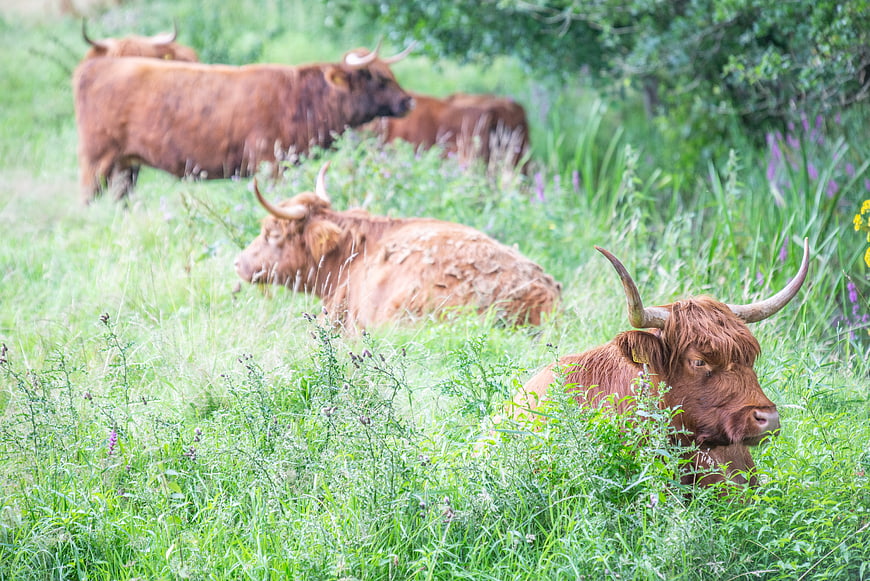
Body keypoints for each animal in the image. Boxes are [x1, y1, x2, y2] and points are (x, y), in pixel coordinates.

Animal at [72, 43, 415, 203]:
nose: (408, 101)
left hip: (127, 165)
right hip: (96, 160)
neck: (300, 99)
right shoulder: (270, 163)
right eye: (379, 78)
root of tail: (94, 65)